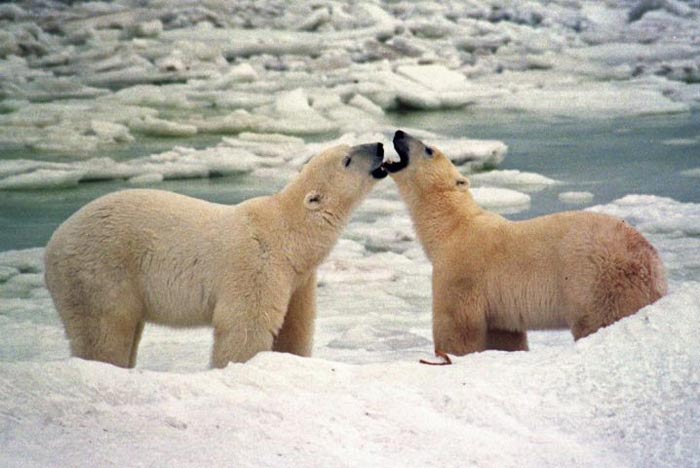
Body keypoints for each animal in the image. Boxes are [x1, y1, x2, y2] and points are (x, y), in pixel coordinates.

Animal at [44, 141, 388, 368]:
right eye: (347, 159)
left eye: (350, 146)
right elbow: (244, 327)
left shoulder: (298, 280)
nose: (379, 146)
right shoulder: (257, 266)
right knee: (104, 329)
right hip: (99, 271)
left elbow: (295, 327)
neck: (287, 233)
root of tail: (51, 248)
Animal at [382, 130, 668, 356]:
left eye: (428, 149)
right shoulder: (497, 305)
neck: (452, 226)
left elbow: (456, 326)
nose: (398, 132)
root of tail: (650, 261)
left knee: (601, 319)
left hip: (598, 284)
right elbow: (504, 336)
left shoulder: (461, 273)